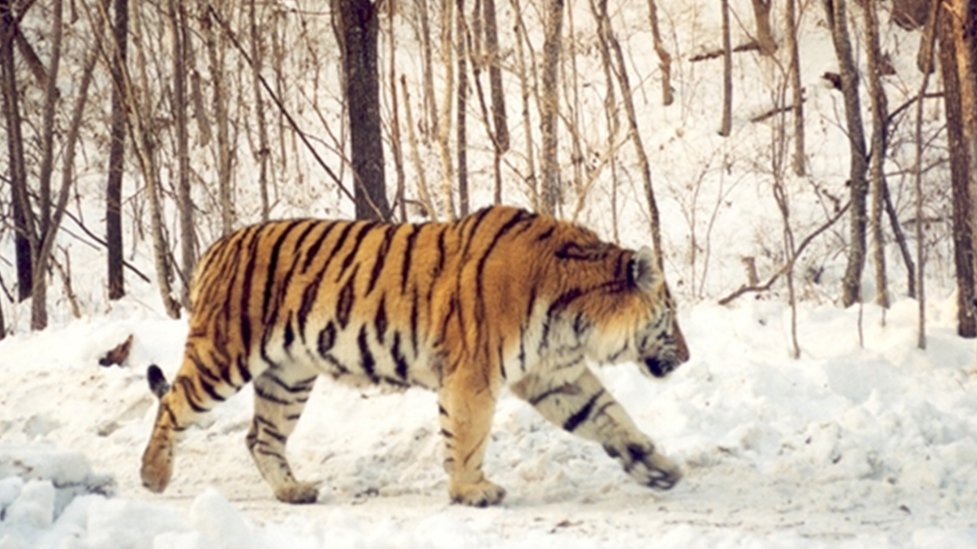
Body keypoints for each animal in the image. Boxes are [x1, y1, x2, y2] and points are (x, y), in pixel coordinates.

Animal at [140, 205, 690, 506]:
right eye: (670, 314)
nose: (686, 357)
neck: (575, 319)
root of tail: (217, 245)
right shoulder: (473, 376)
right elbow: (467, 436)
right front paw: (472, 491)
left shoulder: (555, 375)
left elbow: (610, 417)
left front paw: (658, 468)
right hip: (223, 355)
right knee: (173, 404)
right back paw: (152, 476)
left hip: (288, 377)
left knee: (260, 437)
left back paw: (294, 492)